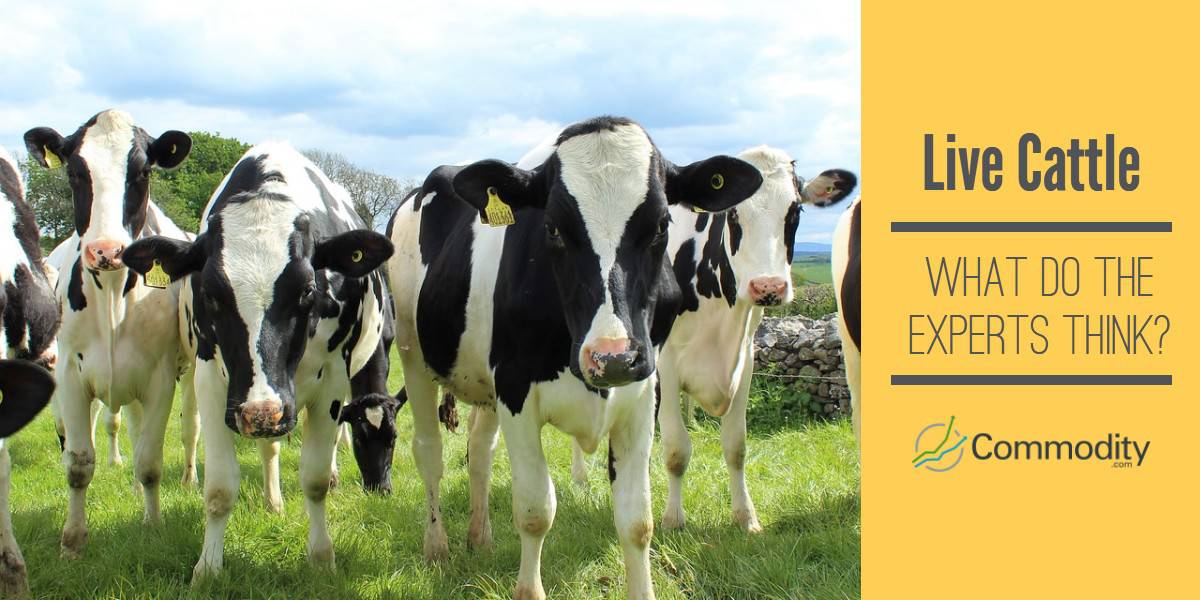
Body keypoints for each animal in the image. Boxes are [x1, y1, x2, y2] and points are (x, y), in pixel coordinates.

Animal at [23, 109, 195, 558]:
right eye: (75, 172)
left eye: (142, 171)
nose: (105, 250)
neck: (114, 297)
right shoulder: (68, 372)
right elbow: (79, 462)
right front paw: (72, 541)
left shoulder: (160, 378)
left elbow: (151, 461)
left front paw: (153, 524)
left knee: (188, 428)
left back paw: (186, 477)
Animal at [121, 142, 394, 581]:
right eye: (211, 294)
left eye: (307, 289)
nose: (260, 412)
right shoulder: (214, 383)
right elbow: (219, 487)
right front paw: (207, 567)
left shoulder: (333, 383)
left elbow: (315, 478)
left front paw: (322, 558)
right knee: (269, 448)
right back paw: (272, 499)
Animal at [387, 116, 763, 600]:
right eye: (552, 227)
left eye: (662, 224)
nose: (612, 357)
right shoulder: (516, 391)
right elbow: (535, 510)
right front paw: (528, 590)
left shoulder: (643, 394)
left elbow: (637, 519)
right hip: (413, 354)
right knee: (429, 452)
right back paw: (437, 546)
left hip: (483, 384)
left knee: (480, 451)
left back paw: (480, 537)